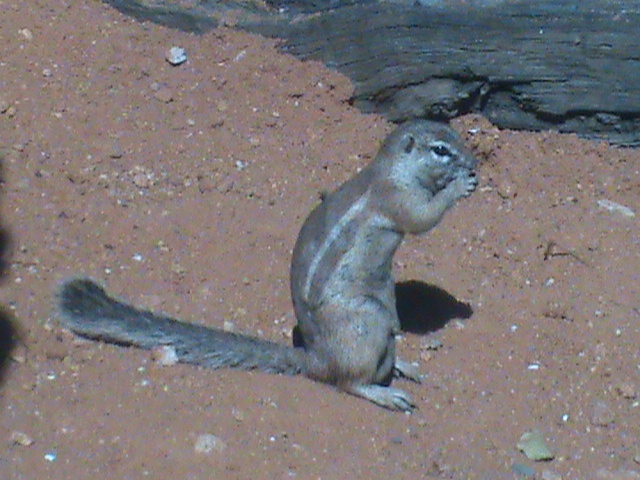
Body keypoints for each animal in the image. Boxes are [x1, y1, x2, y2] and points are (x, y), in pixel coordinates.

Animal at [58, 119, 478, 411]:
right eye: (441, 150)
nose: (474, 163)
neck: (392, 169)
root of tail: (317, 358)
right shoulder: (397, 197)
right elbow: (423, 218)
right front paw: (460, 187)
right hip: (365, 322)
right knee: (347, 381)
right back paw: (383, 393)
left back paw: (402, 365)